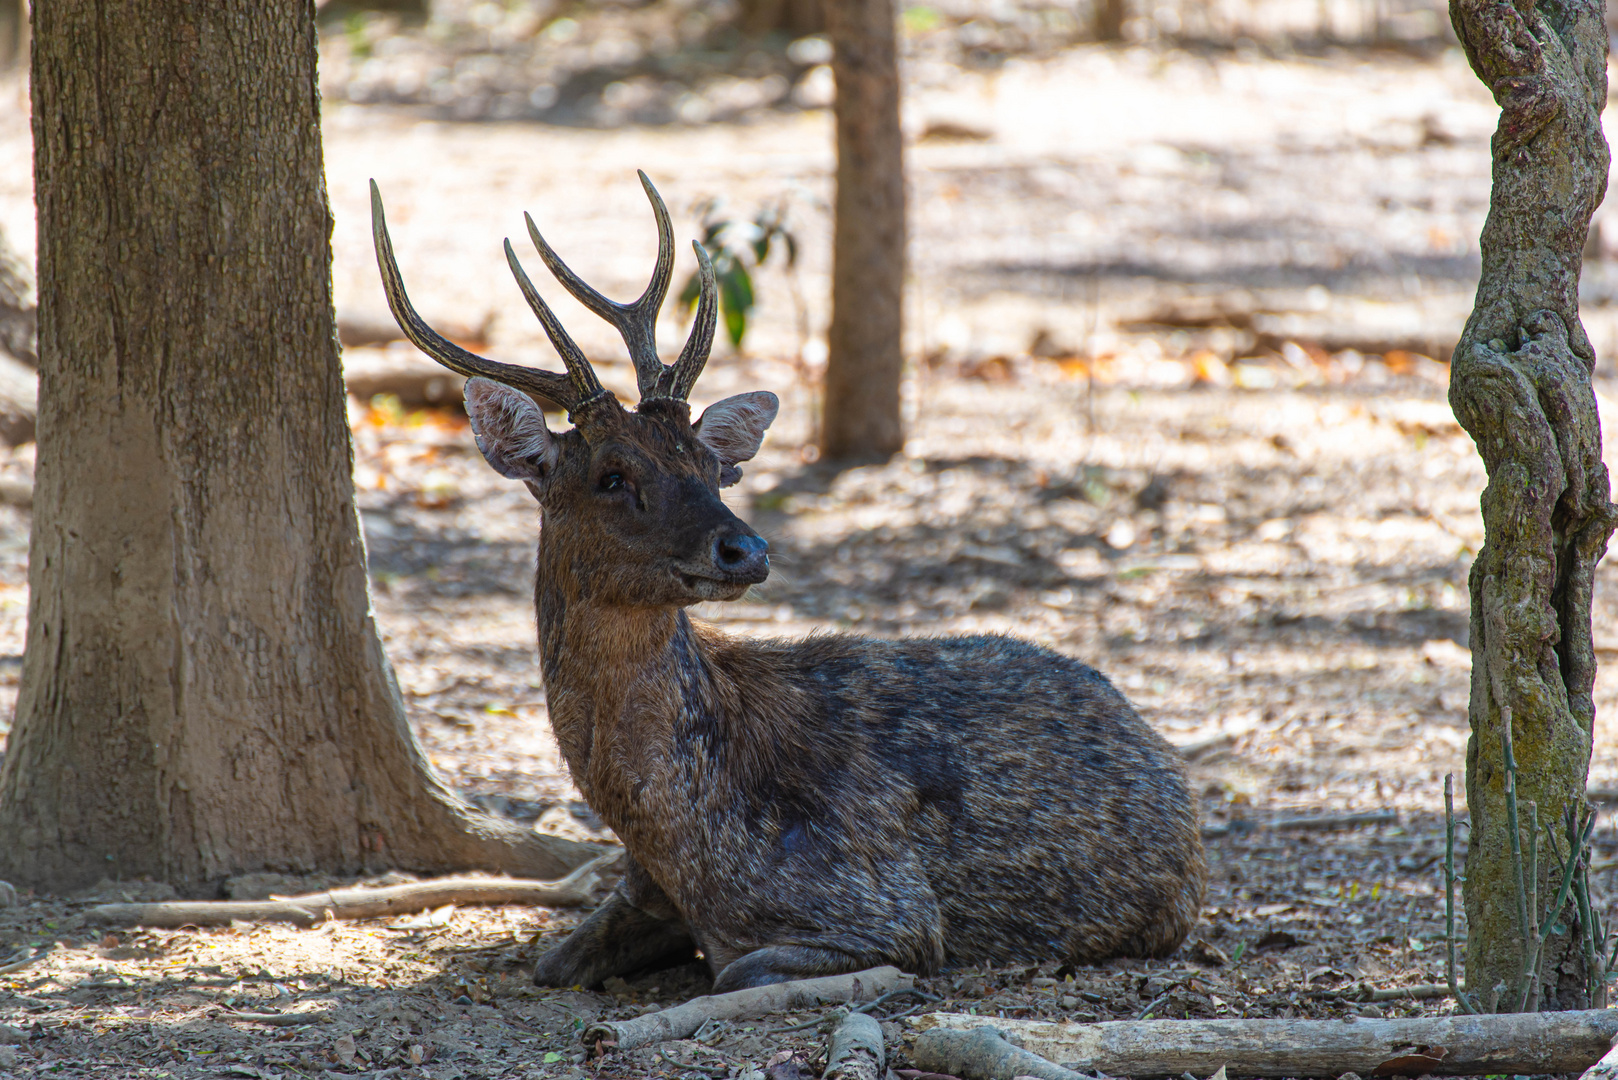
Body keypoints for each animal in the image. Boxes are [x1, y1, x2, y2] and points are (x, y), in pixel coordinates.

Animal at [367, 173, 1203, 990]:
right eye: (611, 476)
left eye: (710, 465)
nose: (745, 549)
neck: (684, 843)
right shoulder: (640, 890)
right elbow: (553, 964)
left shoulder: (887, 910)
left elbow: (736, 972)